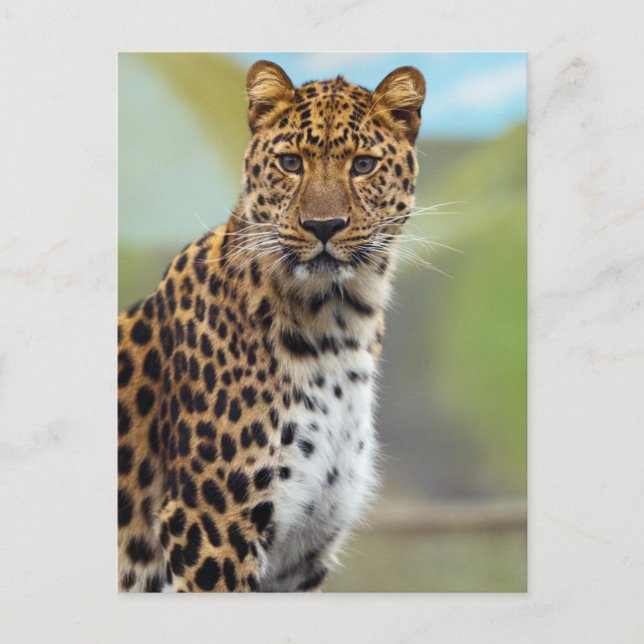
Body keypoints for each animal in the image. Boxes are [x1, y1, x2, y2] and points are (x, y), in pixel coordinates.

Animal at [118, 59, 426, 592]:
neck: (338, 326)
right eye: (290, 163)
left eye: (363, 165)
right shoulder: (211, 526)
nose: (324, 226)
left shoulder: (303, 551)